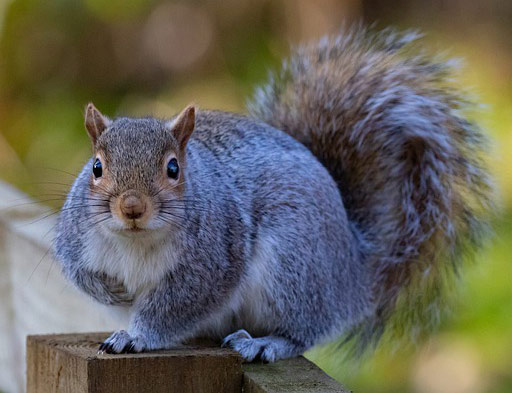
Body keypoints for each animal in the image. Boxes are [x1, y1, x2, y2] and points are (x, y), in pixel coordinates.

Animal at [53, 26, 492, 360]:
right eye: (96, 167)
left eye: (173, 169)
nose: (132, 208)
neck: (136, 241)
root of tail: (353, 271)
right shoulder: (75, 238)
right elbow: (77, 272)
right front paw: (109, 291)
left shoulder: (212, 262)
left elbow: (176, 306)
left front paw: (136, 335)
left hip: (294, 263)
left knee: (302, 332)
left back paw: (266, 343)